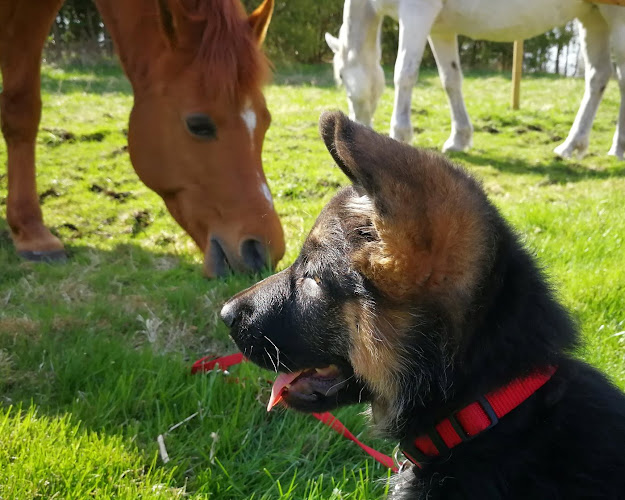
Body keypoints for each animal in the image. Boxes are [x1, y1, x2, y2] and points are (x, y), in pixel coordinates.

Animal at [324, 0, 624, 158]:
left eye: (341, 74)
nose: (357, 126)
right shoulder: (440, 29)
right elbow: (450, 79)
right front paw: (459, 138)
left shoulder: (417, 11)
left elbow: (404, 72)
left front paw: (400, 134)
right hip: (593, 15)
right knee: (598, 76)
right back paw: (572, 145)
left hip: (615, 15)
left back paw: (618, 148)